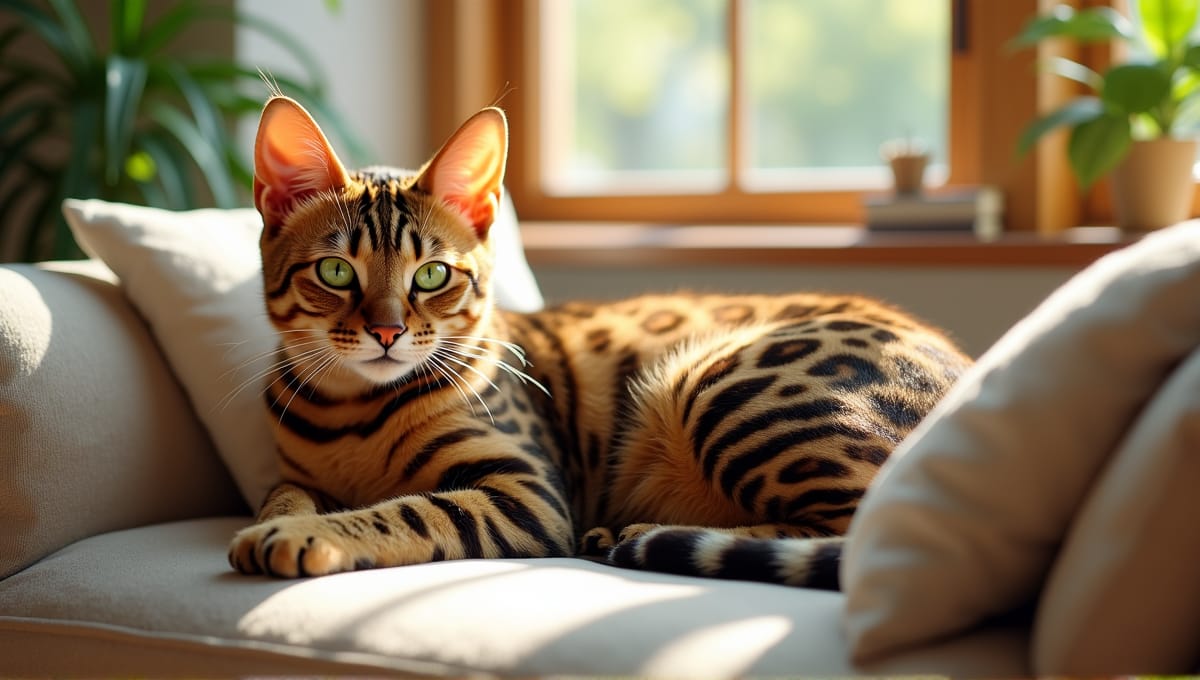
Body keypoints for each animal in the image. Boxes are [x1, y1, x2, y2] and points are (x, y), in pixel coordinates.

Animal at [226, 97, 974, 590]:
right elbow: (283, 496)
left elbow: (406, 512)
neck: (351, 415)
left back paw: (644, 535)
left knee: (858, 532)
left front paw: (305, 537)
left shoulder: (527, 490)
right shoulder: (296, 474)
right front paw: (279, 523)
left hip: (718, 383)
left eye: (432, 274)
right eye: (336, 271)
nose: (387, 332)